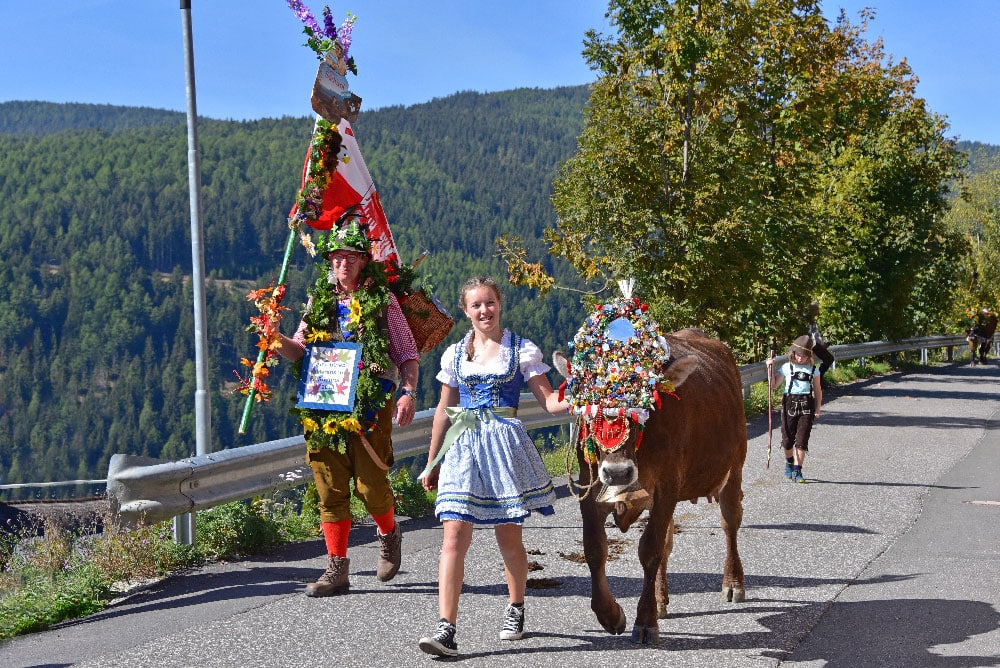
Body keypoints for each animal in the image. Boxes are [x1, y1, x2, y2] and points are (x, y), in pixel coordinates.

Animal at [554, 326, 748, 644]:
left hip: (734, 467)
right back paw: (660, 600)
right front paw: (611, 615)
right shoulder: (590, 485)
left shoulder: (667, 485)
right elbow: (595, 547)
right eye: (590, 406)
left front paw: (645, 622)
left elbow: (650, 549)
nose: (618, 473)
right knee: (668, 543)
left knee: (729, 522)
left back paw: (733, 583)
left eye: (642, 405)